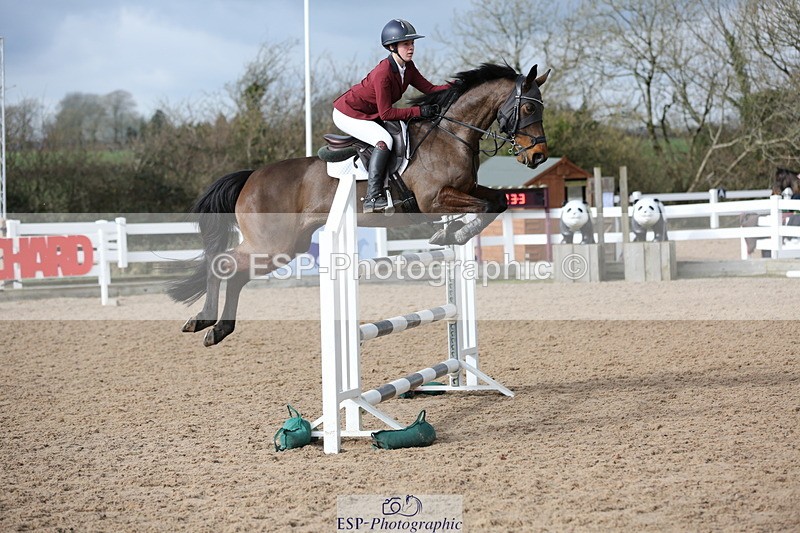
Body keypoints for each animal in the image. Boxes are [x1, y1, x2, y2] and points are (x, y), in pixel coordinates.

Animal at [168, 63, 550, 346]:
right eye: (529, 106)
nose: (538, 156)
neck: (449, 135)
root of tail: (251, 177)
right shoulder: (434, 199)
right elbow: (483, 208)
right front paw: (450, 234)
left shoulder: (467, 189)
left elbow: (497, 202)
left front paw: (452, 233)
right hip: (272, 244)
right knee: (223, 264)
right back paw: (205, 322)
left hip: (286, 247)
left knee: (235, 272)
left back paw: (217, 328)